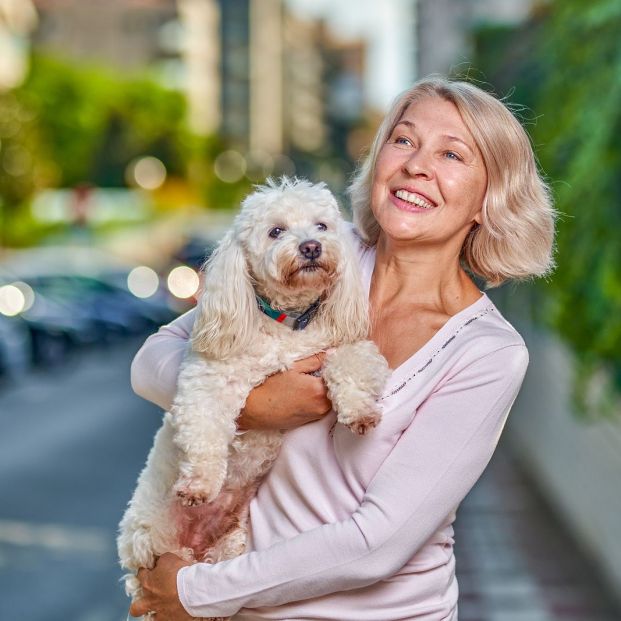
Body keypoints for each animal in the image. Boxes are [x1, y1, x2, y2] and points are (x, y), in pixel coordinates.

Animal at [117, 177, 388, 616]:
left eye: (322, 226)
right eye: (276, 230)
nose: (310, 247)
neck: (287, 324)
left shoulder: (343, 345)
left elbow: (352, 363)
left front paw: (360, 411)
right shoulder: (208, 378)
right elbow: (206, 429)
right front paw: (199, 484)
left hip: (233, 543)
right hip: (152, 542)